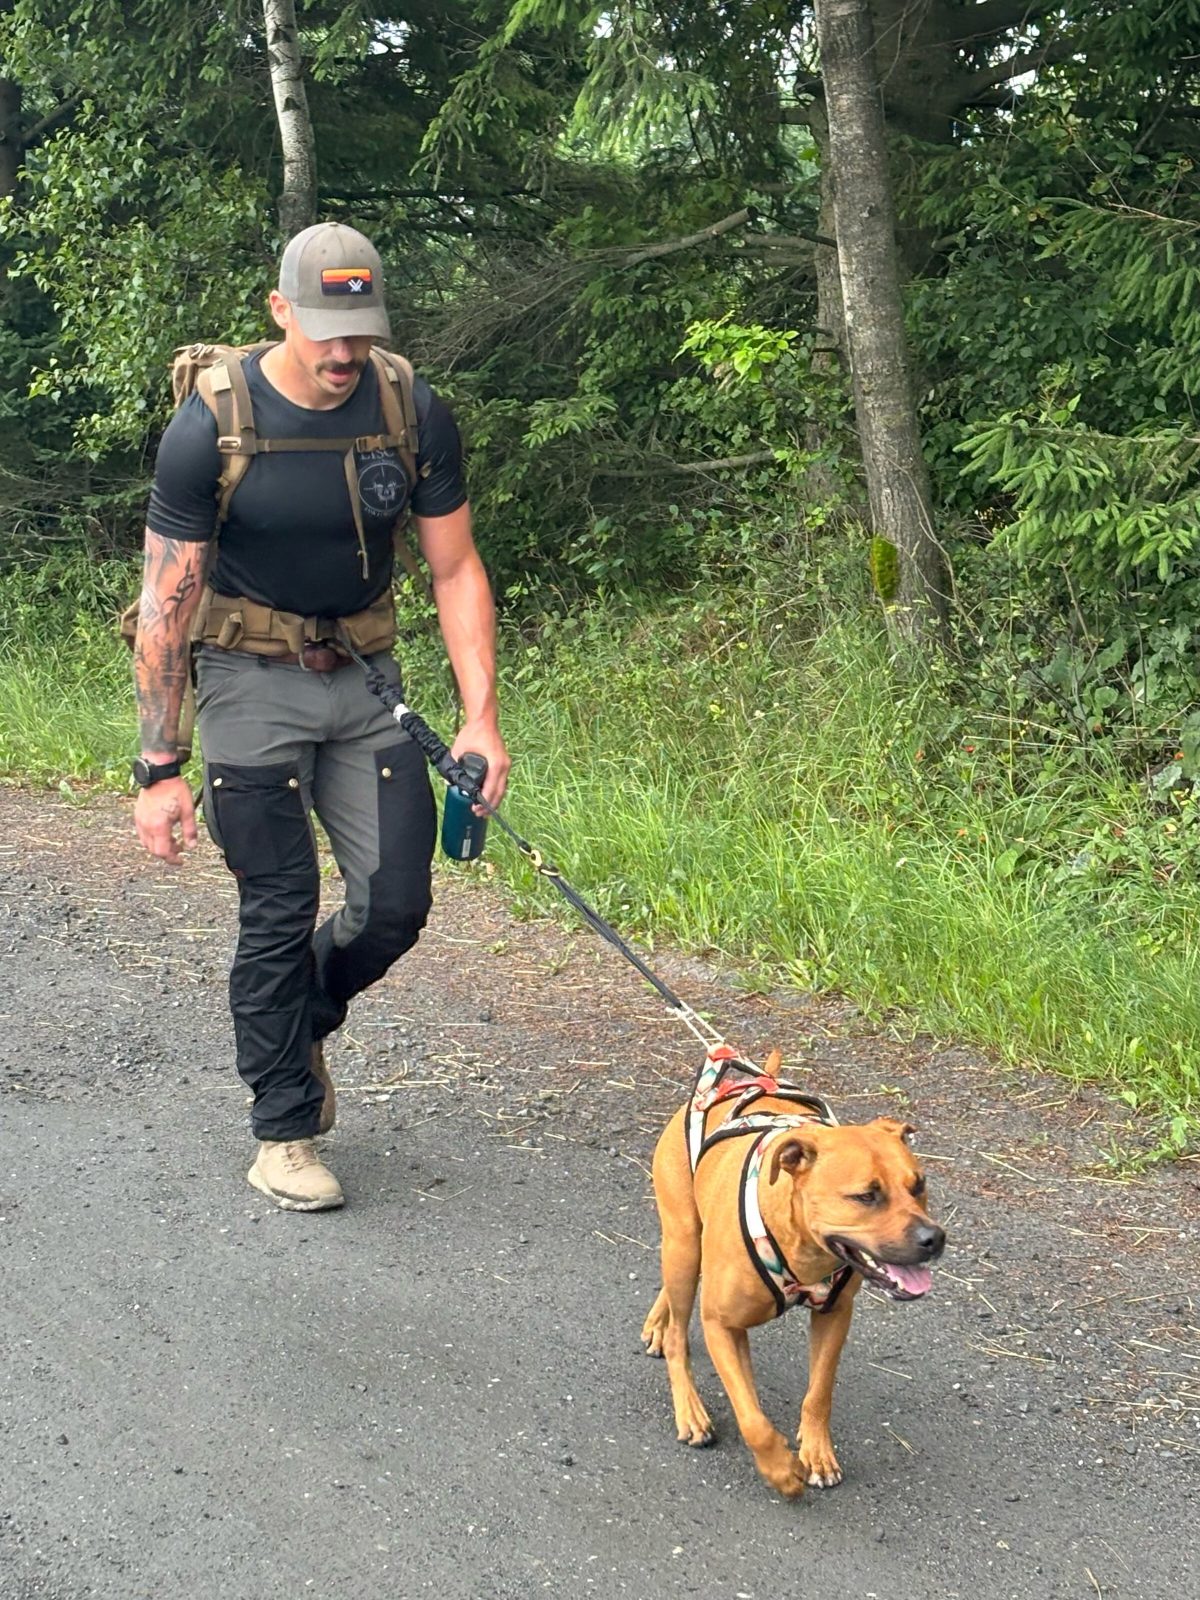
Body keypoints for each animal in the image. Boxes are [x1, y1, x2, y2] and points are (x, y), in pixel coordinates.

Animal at [643, 1049, 947, 1497]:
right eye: (866, 1196)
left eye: (919, 1185)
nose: (934, 1238)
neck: (802, 1247)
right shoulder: (720, 1324)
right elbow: (752, 1417)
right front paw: (780, 1470)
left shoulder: (834, 1316)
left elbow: (818, 1393)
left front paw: (816, 1453)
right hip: (683, 1240)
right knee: (680, 1337)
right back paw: (689, 1408)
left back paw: (657, 1322)